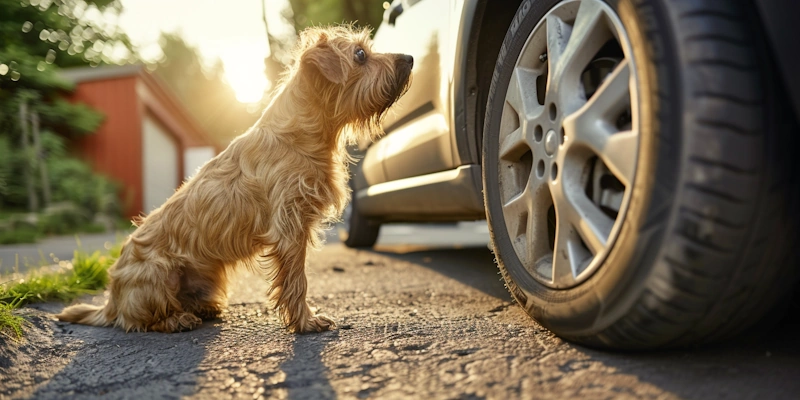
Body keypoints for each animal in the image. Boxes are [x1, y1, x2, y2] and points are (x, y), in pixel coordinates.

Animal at [57, 26, 412, 334]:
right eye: (360, 55)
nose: (409, 58)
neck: (302, 135)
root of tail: (111, 301)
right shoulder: (290, 229)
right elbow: (297, 281)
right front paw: (305, 322)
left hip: (211, 277)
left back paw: (202, 308)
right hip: (160, 273)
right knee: (138, 321)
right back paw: (176, 319)